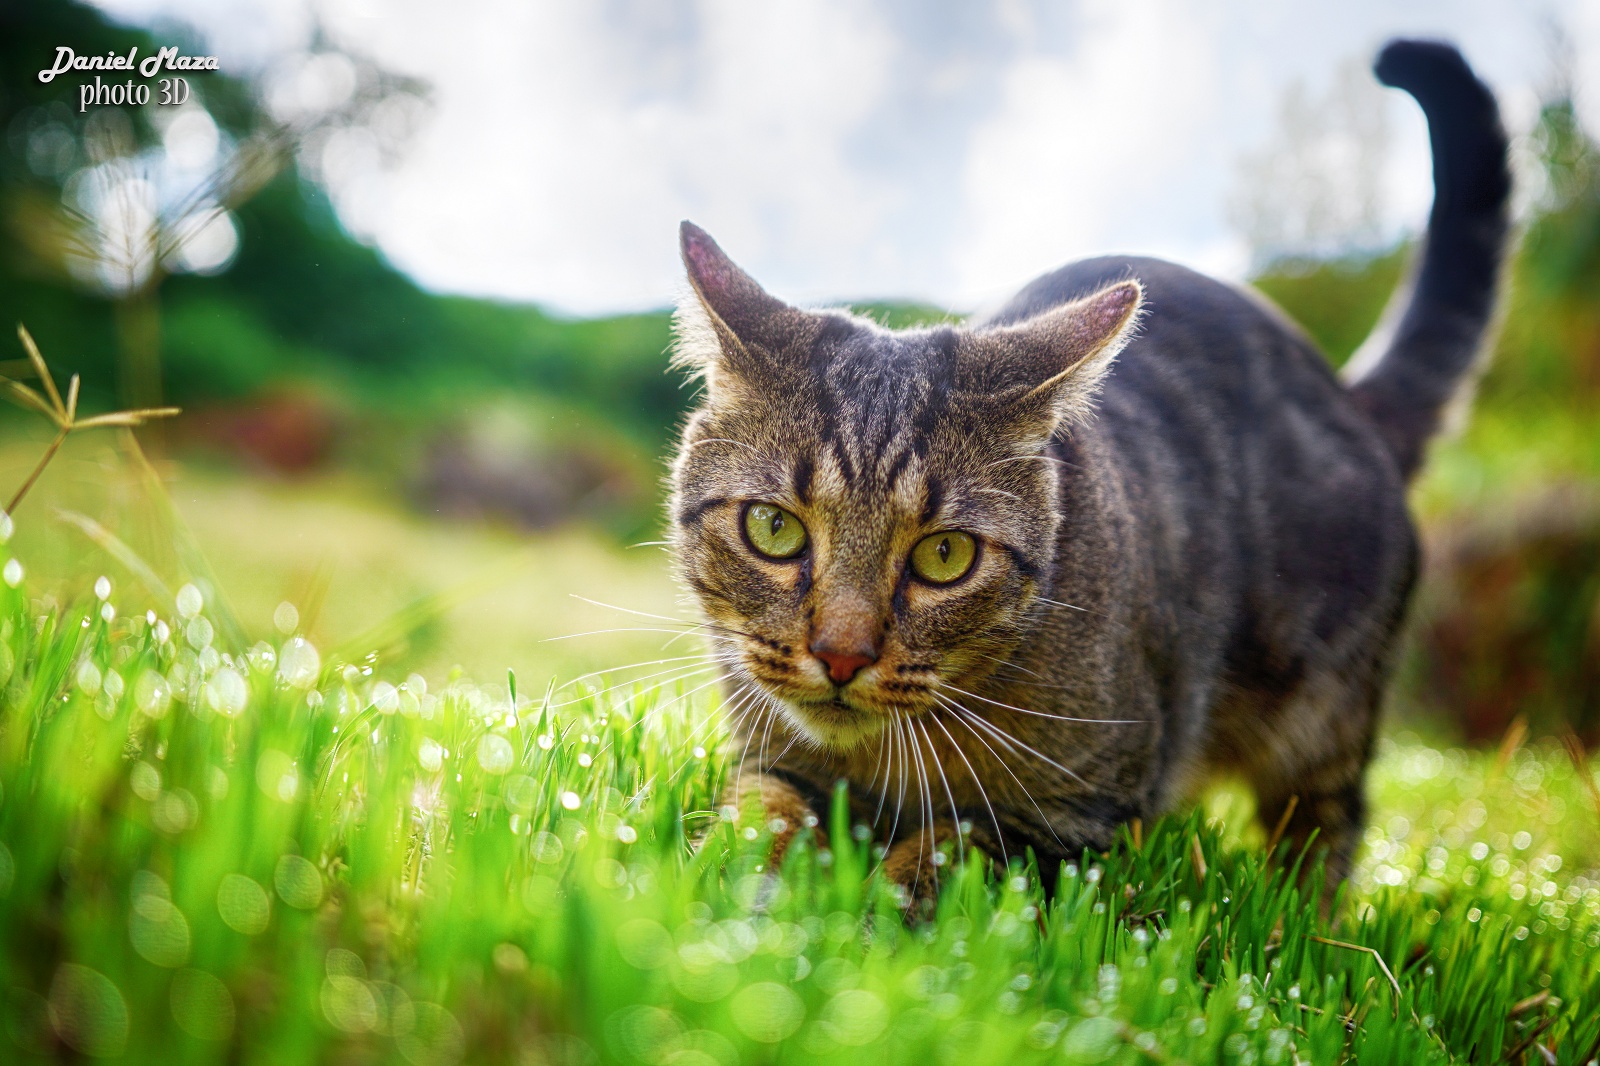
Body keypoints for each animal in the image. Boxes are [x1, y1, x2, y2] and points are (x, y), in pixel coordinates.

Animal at [659, 41, 1497, 902]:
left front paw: (885, 906)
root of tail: (1346, 396)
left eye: (945, 554)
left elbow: (957, 847)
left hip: (1321, 716)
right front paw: (740, 886)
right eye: (773, 528)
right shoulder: (771, 756)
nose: (841, 655)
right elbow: (757, 810)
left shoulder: (1082, 816)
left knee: (1326, 832)